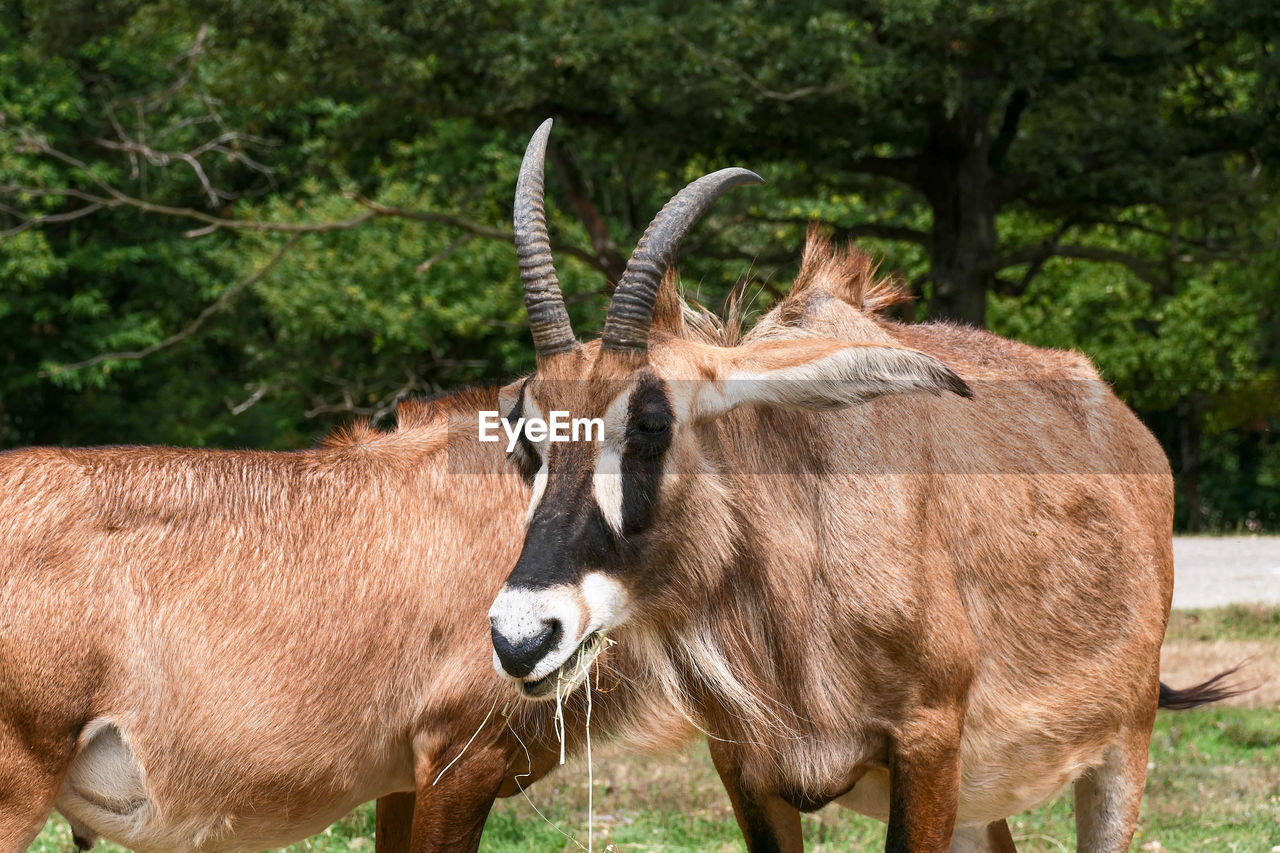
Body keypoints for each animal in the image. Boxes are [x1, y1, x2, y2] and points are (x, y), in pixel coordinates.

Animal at [488, 119, 1239, 850]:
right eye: (525, 428)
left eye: (650, 422)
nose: (522, 636)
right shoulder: (742, 765)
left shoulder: (927, 743)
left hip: (1120, 750)